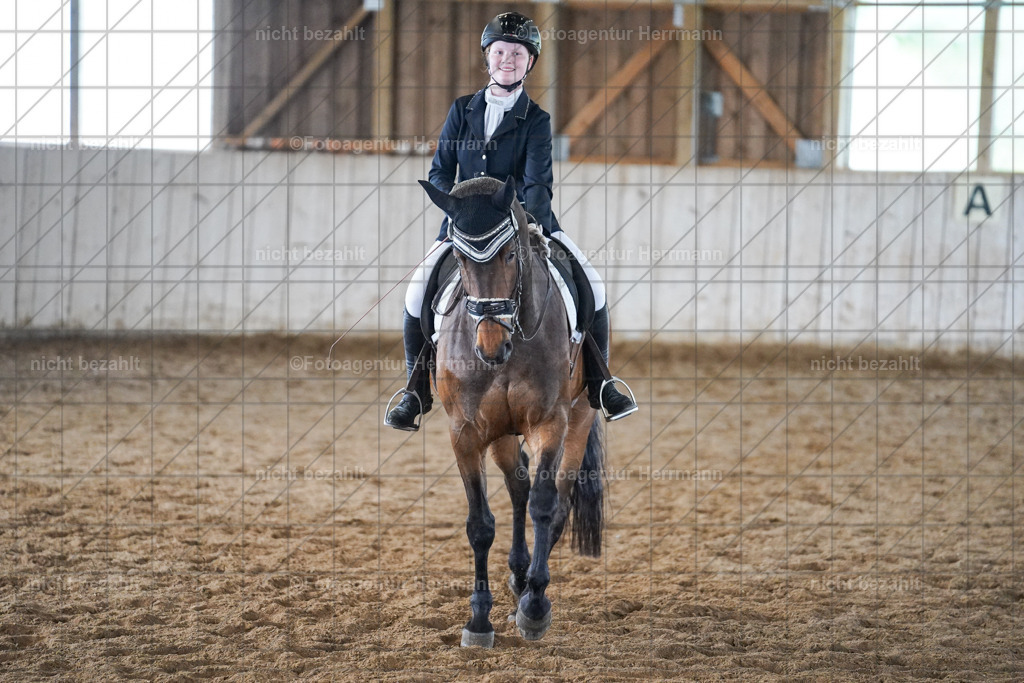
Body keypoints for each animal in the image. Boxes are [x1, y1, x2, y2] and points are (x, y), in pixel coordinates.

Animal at [418, 176, 605, 647]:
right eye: (460, 258)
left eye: (509, 254)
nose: (491, 347)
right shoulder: (465, 432)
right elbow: (480, 523)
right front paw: (478, 621)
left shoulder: (549, 423)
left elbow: (544, 505)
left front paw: (535, 609)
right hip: (500, 433)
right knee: (517, 486)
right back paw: (518, 577)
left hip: (579, 419)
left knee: (555, 502)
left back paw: (528, 594)